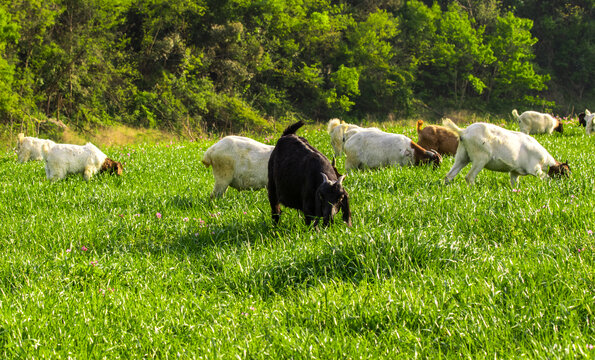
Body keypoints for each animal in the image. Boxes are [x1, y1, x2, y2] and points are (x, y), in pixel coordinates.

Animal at [444, 119, 572, 187]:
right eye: (565, 172)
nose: (569, 183)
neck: (545, 160)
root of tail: (463, 132)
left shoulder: (515, 172)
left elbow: (514, 183)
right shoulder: (535, 169)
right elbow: (546, 178)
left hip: (462, 156)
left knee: (449, 175)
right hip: (480, 158)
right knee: (469, 176)